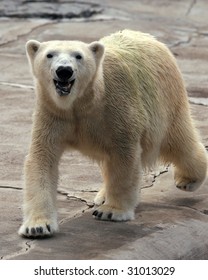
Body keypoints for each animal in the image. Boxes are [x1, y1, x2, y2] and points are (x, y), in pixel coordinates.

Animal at [18, 29, 207, 237]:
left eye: (78, 56)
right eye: (49, 55)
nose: (64, 71)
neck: (82, 102)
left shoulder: (115, 107)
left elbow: (123, 155)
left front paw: (111, 212)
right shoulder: (53, 114)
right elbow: (42, 158)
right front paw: (37, 227)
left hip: (166, 99)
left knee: (179, 142)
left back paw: (188, 180)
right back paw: (102, 195)